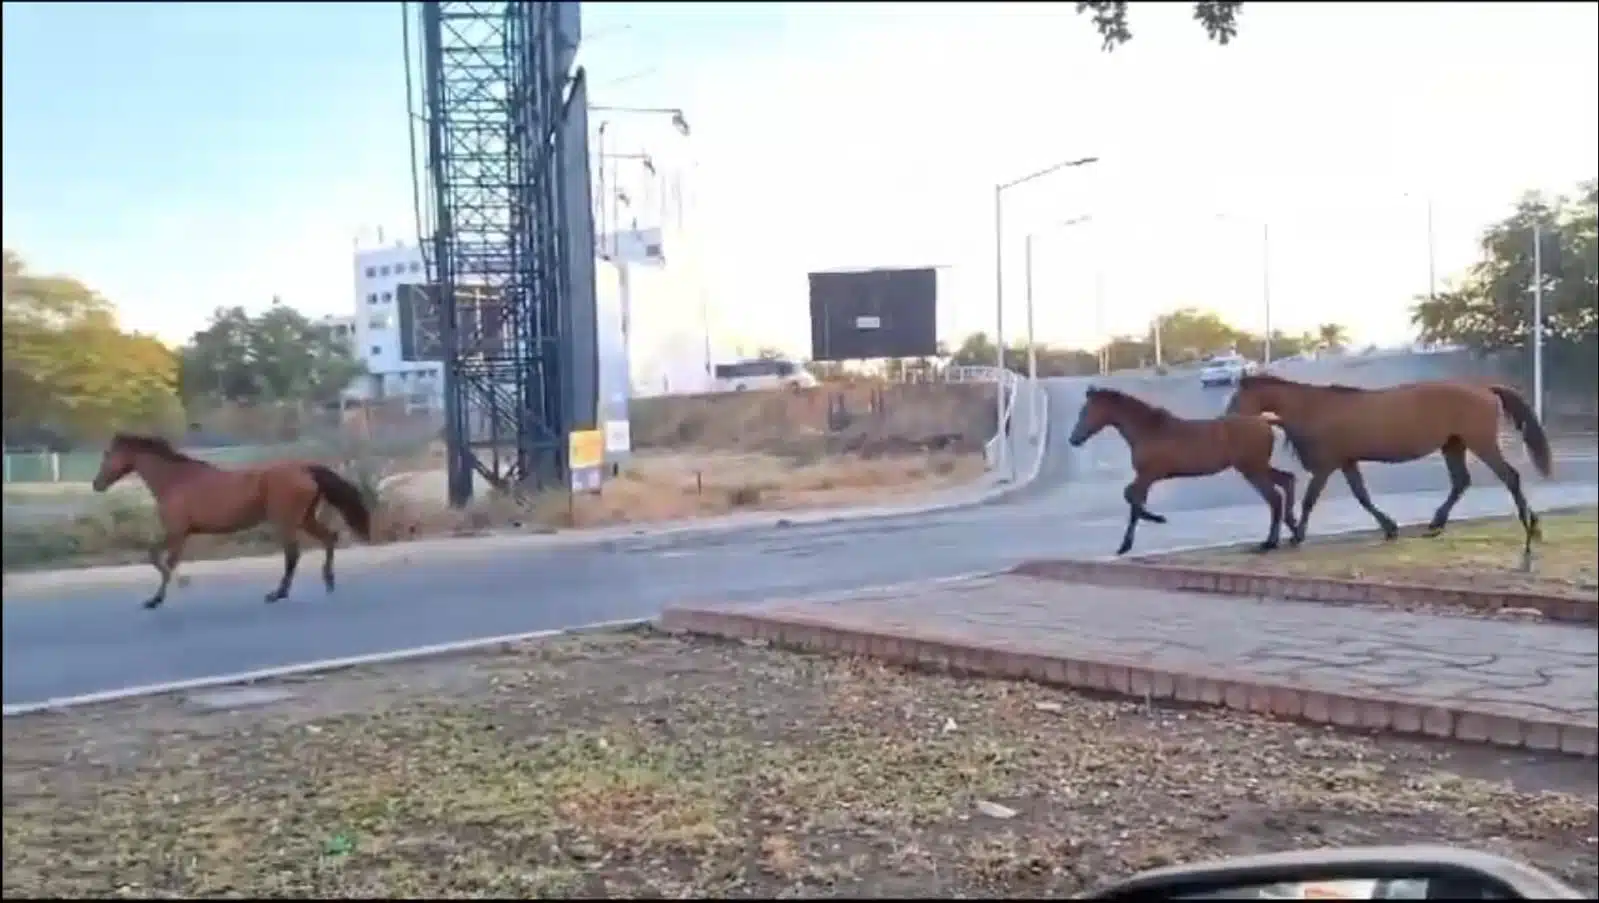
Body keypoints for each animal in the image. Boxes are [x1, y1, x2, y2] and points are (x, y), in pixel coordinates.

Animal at [91, 431, 374, 610]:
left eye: (107, 454)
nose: (96, 484)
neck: (175, 481)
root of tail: (305, 469)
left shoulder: (176, 532)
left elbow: (160, 559)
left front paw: (157, 599)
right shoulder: (181, 534)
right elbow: (162, 559)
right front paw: (167, 591)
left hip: (286, 521)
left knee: (293, 554)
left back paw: (278, 594)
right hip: (304, 518)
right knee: (329, 538)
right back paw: (328, 582)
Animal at [1061, 386, 1311, 556]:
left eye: (1086, 411)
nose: (1074, 439)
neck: (1148, 430)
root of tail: (1265, 422)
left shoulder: (1148, 475)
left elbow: (1132, 500)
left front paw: (1135, 537)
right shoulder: (1146, 477)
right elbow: (1133, 499)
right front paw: (1146, 526)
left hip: (1252, 469)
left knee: (1275, 497)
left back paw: (1270, 542)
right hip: (1257, 467)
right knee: (1287, 481)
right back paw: (1295, 532)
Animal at [1221, 370, 1547, 556]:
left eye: (1236, 397)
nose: (1226, 420)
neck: (1312, 407)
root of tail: (1485, 389)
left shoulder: (1327, 465)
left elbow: (1310, 500)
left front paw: (1298, 535)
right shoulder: (1347, 462)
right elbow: (1362, 496)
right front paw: (1390, 527)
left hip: (1480, 442)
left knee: (1510, 477)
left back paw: (1530, 527)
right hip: (1453, 444)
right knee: (1461, 481)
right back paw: (1436, 524)